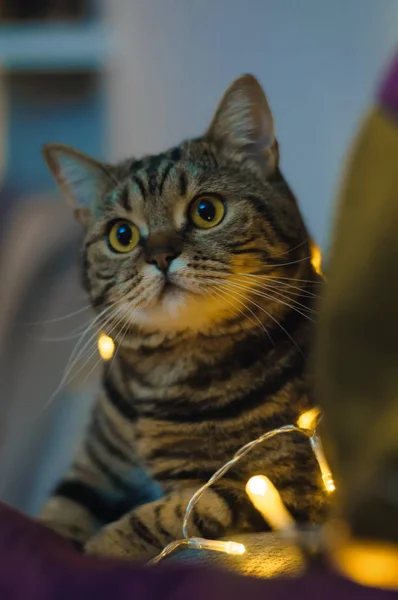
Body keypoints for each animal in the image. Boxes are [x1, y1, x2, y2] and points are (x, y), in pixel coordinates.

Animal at [40, 76, 326, 564]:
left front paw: (102, 546)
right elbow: (53, 515)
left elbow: (185, 507)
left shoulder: (292, 483)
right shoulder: (93, 471)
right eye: (122, 235)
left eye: (206, 211)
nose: (160, 255)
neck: (163, 377)